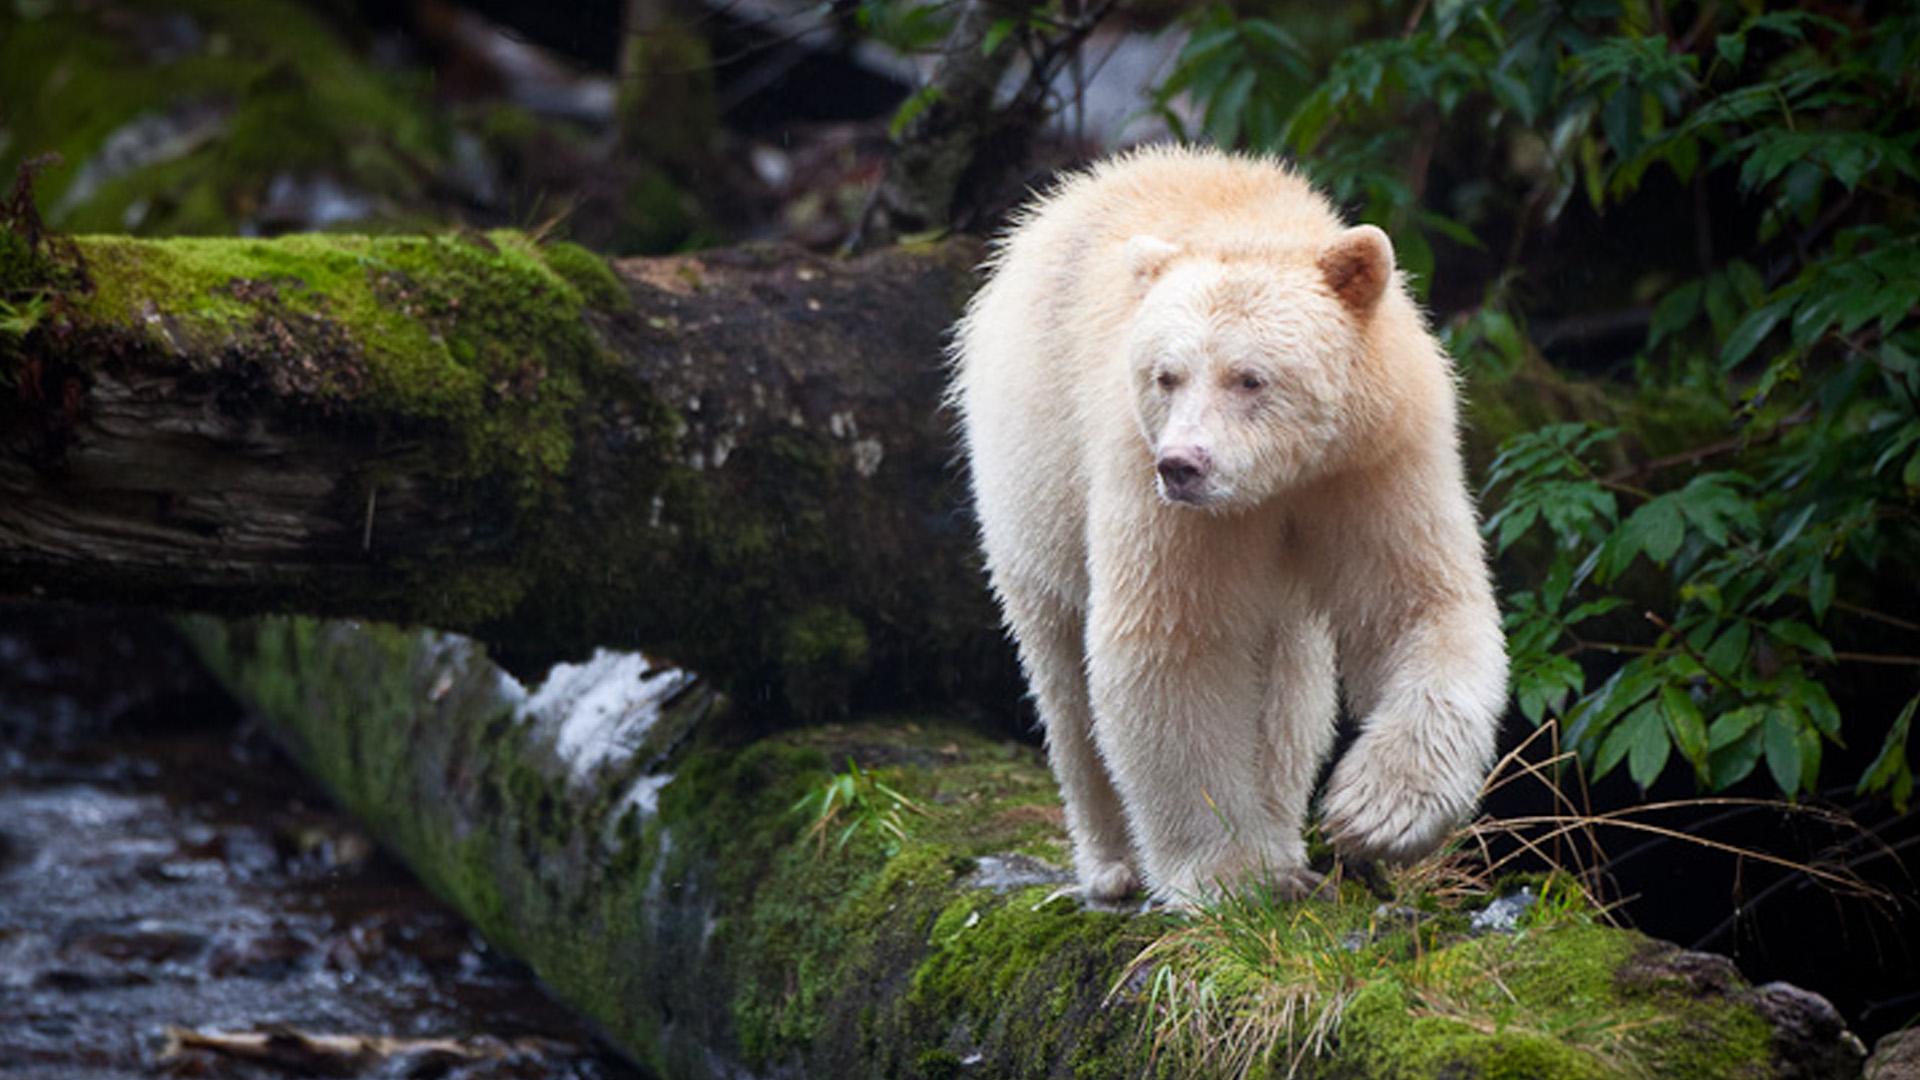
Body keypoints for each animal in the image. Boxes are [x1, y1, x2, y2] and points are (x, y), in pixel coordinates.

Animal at [949, 145, 1508, 905]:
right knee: (1062, 674)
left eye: (1250, 377)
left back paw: (1284, 836)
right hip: (1032, 486)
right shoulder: (1150, 484)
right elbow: (1175, 645)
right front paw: (1230, 874)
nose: (1183, 465)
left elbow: (1414, 605)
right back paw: (1114, 865)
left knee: (1290, 683)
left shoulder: (1375, 458)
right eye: (1166, 376)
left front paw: (1377, 813)